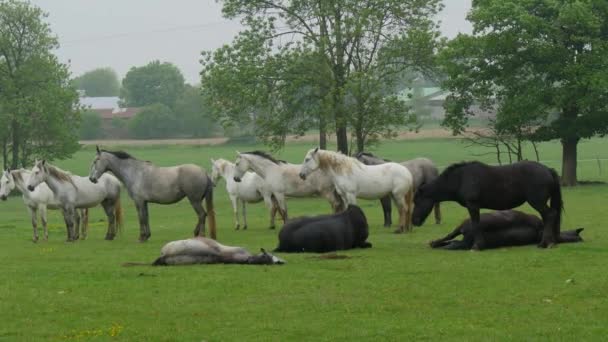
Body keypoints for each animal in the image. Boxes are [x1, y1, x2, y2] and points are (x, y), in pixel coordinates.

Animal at [86, 146, 216, 240]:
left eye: (95, 161)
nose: (92, 179)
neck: (134, 172)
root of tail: (204, 172)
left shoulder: (139, 201)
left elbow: (141, 217)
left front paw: (142, 237)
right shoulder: (145, 202)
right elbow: (146, 217)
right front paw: (147, 235)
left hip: (194, 200)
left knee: (202, 215)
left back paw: (201, 235)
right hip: (196, 200)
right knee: (202, 215)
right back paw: (196, 233)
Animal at [410, 160, 564, 248]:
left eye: (417, 201)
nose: (414, 221)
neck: (460, 179)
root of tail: (548, 170)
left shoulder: (473, 205)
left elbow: (476, 224)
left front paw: (477, 246)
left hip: (537, 201)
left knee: (550, 215)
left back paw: (546, 243)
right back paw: (550, 241)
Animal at [430, 210, 580, 250]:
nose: (580, 238)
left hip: (464, 234)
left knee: (451, 241)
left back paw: (434, 244)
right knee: (450, 238)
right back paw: (434, 243)